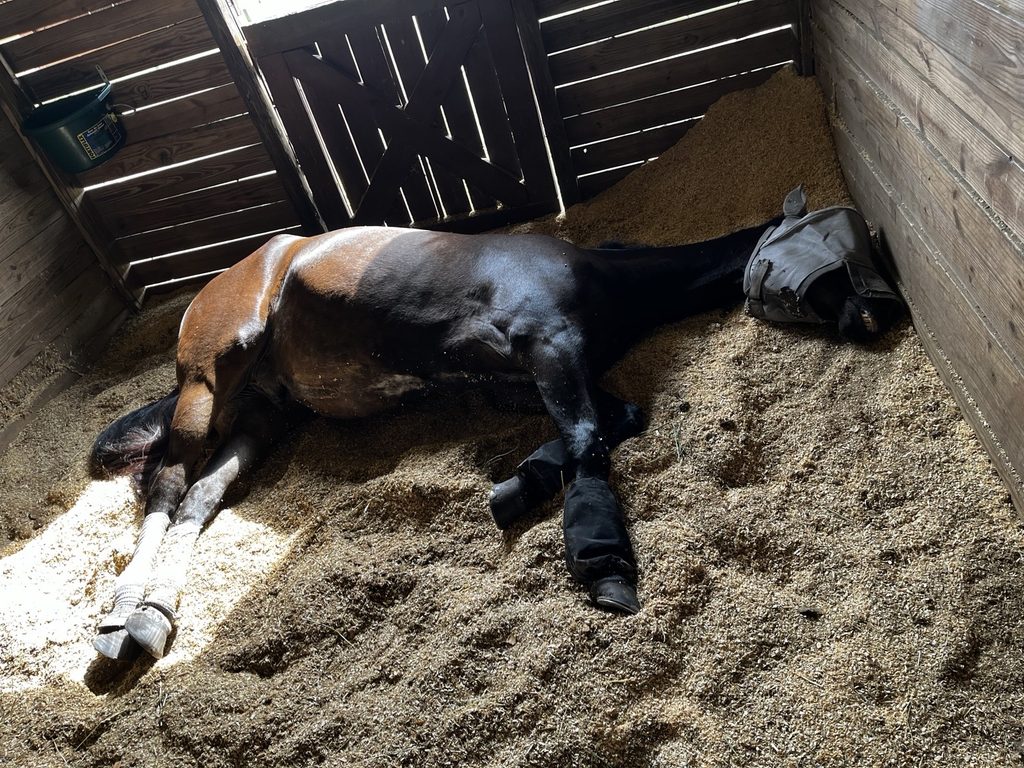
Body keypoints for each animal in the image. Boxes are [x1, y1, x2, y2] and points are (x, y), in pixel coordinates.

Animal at [89, 217, 899, 661]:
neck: (608, 275)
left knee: (202, 495)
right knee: (167, 484)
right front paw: (602, 564)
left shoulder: (532, 373)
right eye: (833, 256)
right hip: (211, 375)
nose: (875, 317)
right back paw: (119, 619)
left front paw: (524, 483)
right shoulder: (547, 345)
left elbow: (613, 422)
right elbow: (588, 436)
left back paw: (154, 617)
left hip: (262, 415)